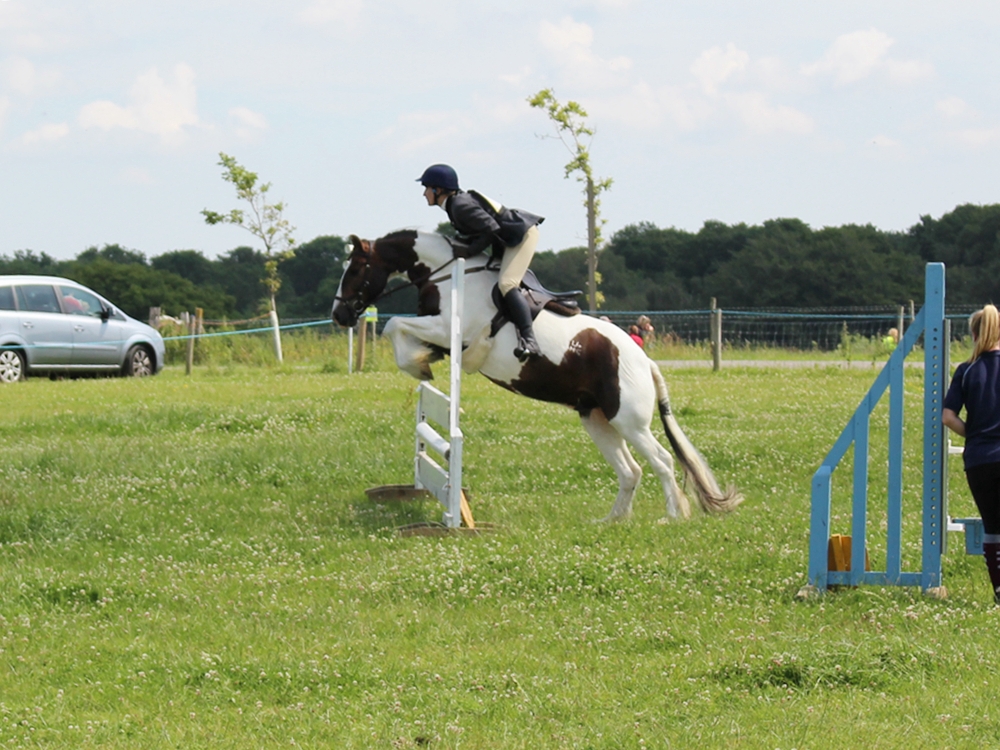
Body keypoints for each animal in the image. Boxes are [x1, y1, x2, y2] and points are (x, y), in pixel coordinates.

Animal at [332, 229, 743, 522]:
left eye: (355, 270)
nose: (339, 315)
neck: (446, 274)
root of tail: (643, 361)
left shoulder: (449, 329)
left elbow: (394, 326)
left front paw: (417, 364)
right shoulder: (440, 333)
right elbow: (401, 331)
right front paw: (421, 360)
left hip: (628, 419)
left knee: (661, 461)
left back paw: (672, 517)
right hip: (595, 418)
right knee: (631, 470)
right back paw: (611, 520)